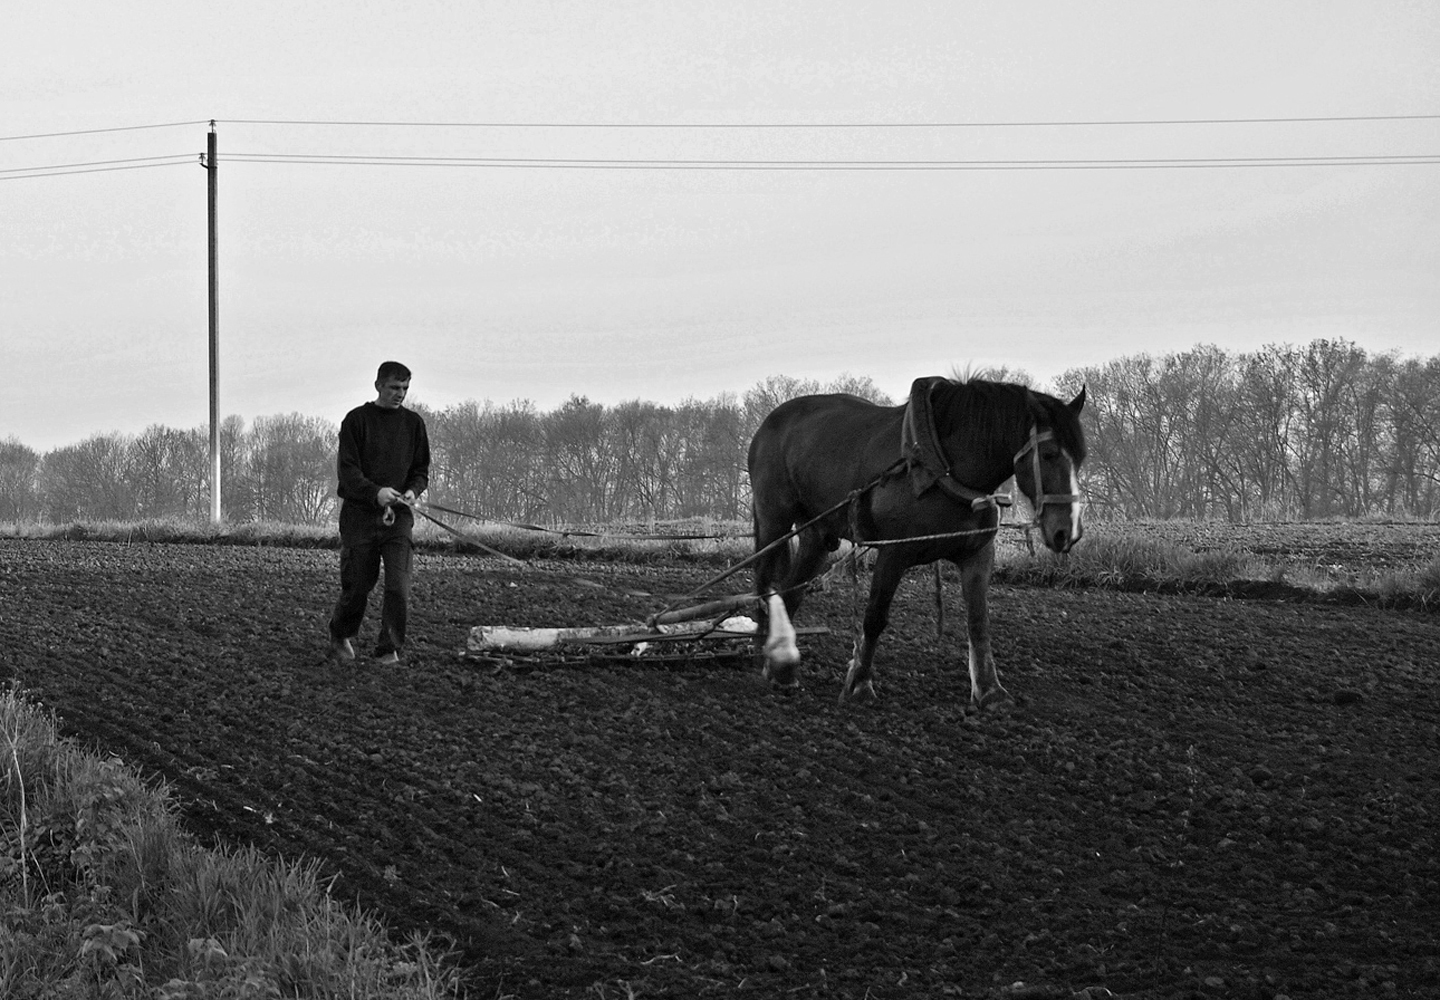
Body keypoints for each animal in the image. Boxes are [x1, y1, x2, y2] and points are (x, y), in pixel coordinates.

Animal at [748, 374, 1082, 711]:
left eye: (1080, 459)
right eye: (1049, 454)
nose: (1067, 532)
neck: (940, 467)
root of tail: (769, 424)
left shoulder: (977, 555)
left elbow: (978, 621)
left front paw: (990, 690)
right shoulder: (893, 553)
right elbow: (874, 617)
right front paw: (859, 684)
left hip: (818, 534)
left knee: (791, 591)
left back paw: (782, 666)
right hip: (774, 521)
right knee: (764, 581)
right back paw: (763, 651)